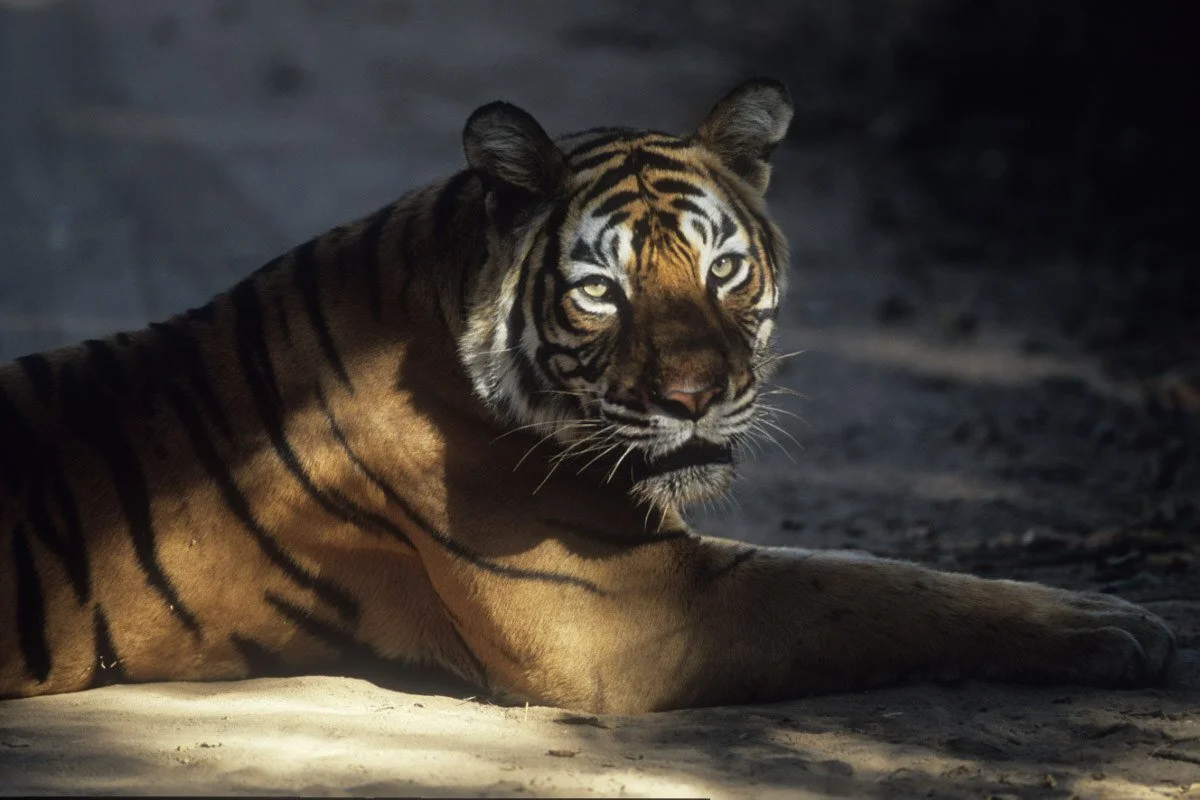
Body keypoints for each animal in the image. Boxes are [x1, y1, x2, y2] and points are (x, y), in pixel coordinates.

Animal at [0, 79, 1175, 713]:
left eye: (724, 270)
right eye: (601, 290)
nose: (698, 396)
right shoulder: (622, 610)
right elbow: (877, 588)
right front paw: (1114, 623)